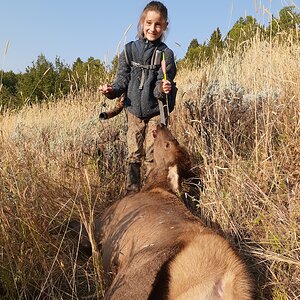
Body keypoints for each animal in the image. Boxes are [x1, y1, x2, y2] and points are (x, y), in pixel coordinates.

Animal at [99, 123, 252, 298]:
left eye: (168, 144)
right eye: (175, 141)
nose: (161, 125)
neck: (155, 186)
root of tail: (224, 281)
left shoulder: (108, 216)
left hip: (134, 272)